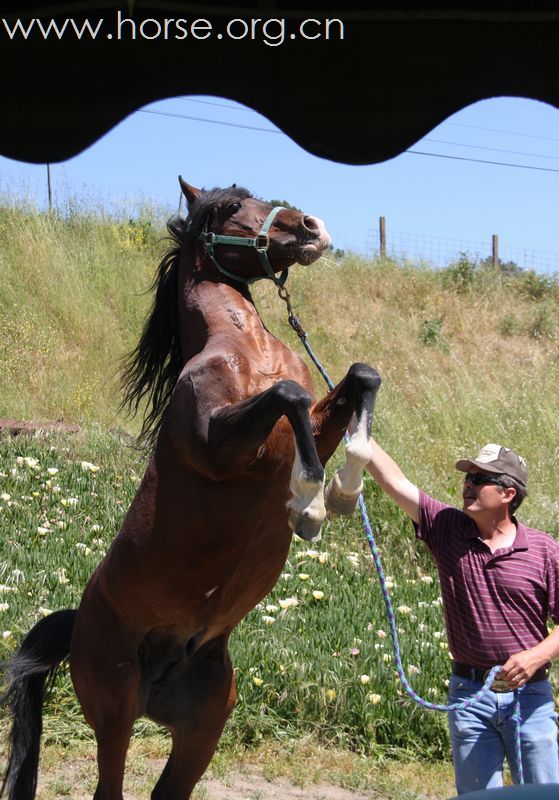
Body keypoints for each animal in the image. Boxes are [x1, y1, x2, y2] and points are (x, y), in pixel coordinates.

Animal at [1, 180, 380, 800]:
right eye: (230, 208)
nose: (311, 227)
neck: (247, 351)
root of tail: (78, 622)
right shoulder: (219, 444)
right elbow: (288, 396)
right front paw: (310, 505)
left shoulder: (320, 425)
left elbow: (362, 375)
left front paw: (345, 489)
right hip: (115, 713)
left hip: (204, 727)